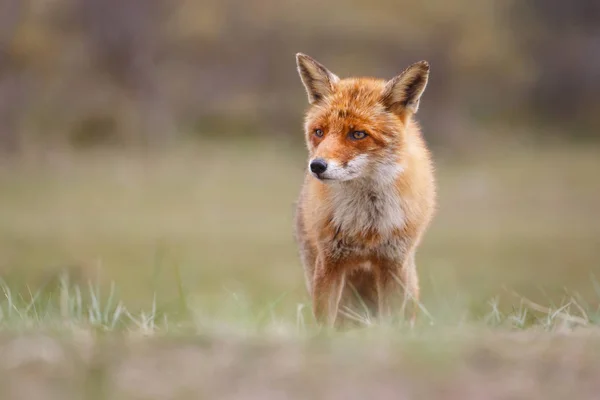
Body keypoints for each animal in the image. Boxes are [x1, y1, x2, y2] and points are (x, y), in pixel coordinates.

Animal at [292, 54, 436, 328]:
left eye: (358, 134)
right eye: (319, 132)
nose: (317, 166)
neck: (367, 225)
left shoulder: (393, 263)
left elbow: (391, 320)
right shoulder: (330, 261)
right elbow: (324, 322)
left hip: (408, 283)